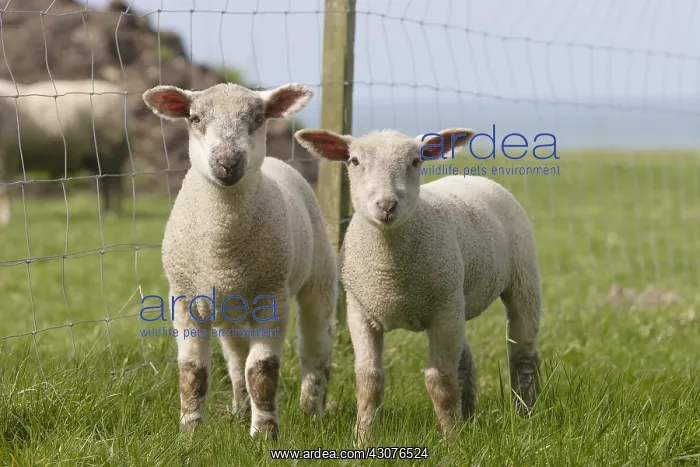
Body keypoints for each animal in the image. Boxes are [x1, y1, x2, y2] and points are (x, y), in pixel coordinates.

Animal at [0, 79, 129, 226]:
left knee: (115, 184)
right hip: (96, 157)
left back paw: (114, 214)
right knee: (105, 183)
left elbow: (4, 190)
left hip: (111, 153)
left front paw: (5, 220)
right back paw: (106, 212)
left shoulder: (7, 157)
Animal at [142, 82, 337, 439]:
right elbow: (192, 372)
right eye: (195, 118)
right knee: (235, 358)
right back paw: (240, 408)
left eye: (259, 118)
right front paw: (189, 434)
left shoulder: (271, 299)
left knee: (316, 349)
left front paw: (264, 435)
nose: (228, 162)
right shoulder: (184, 300)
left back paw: (311, 411)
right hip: (228, 310)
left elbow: (262, 372)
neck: (223, 248)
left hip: (319, 278)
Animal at [294, 127, 542, 441]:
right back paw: (469, 416)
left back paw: (525, 413)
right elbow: (369, 380)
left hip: (522, 279)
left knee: (523, 355)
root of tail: (474, 178)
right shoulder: (360, 312)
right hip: (458, 303)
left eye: (415, 161)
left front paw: (451, 438)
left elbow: (440, 381)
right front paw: (362, 437)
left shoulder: (443, 313)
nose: (386, 206)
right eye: (354, 161)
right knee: (466, 361)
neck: (390, 274)